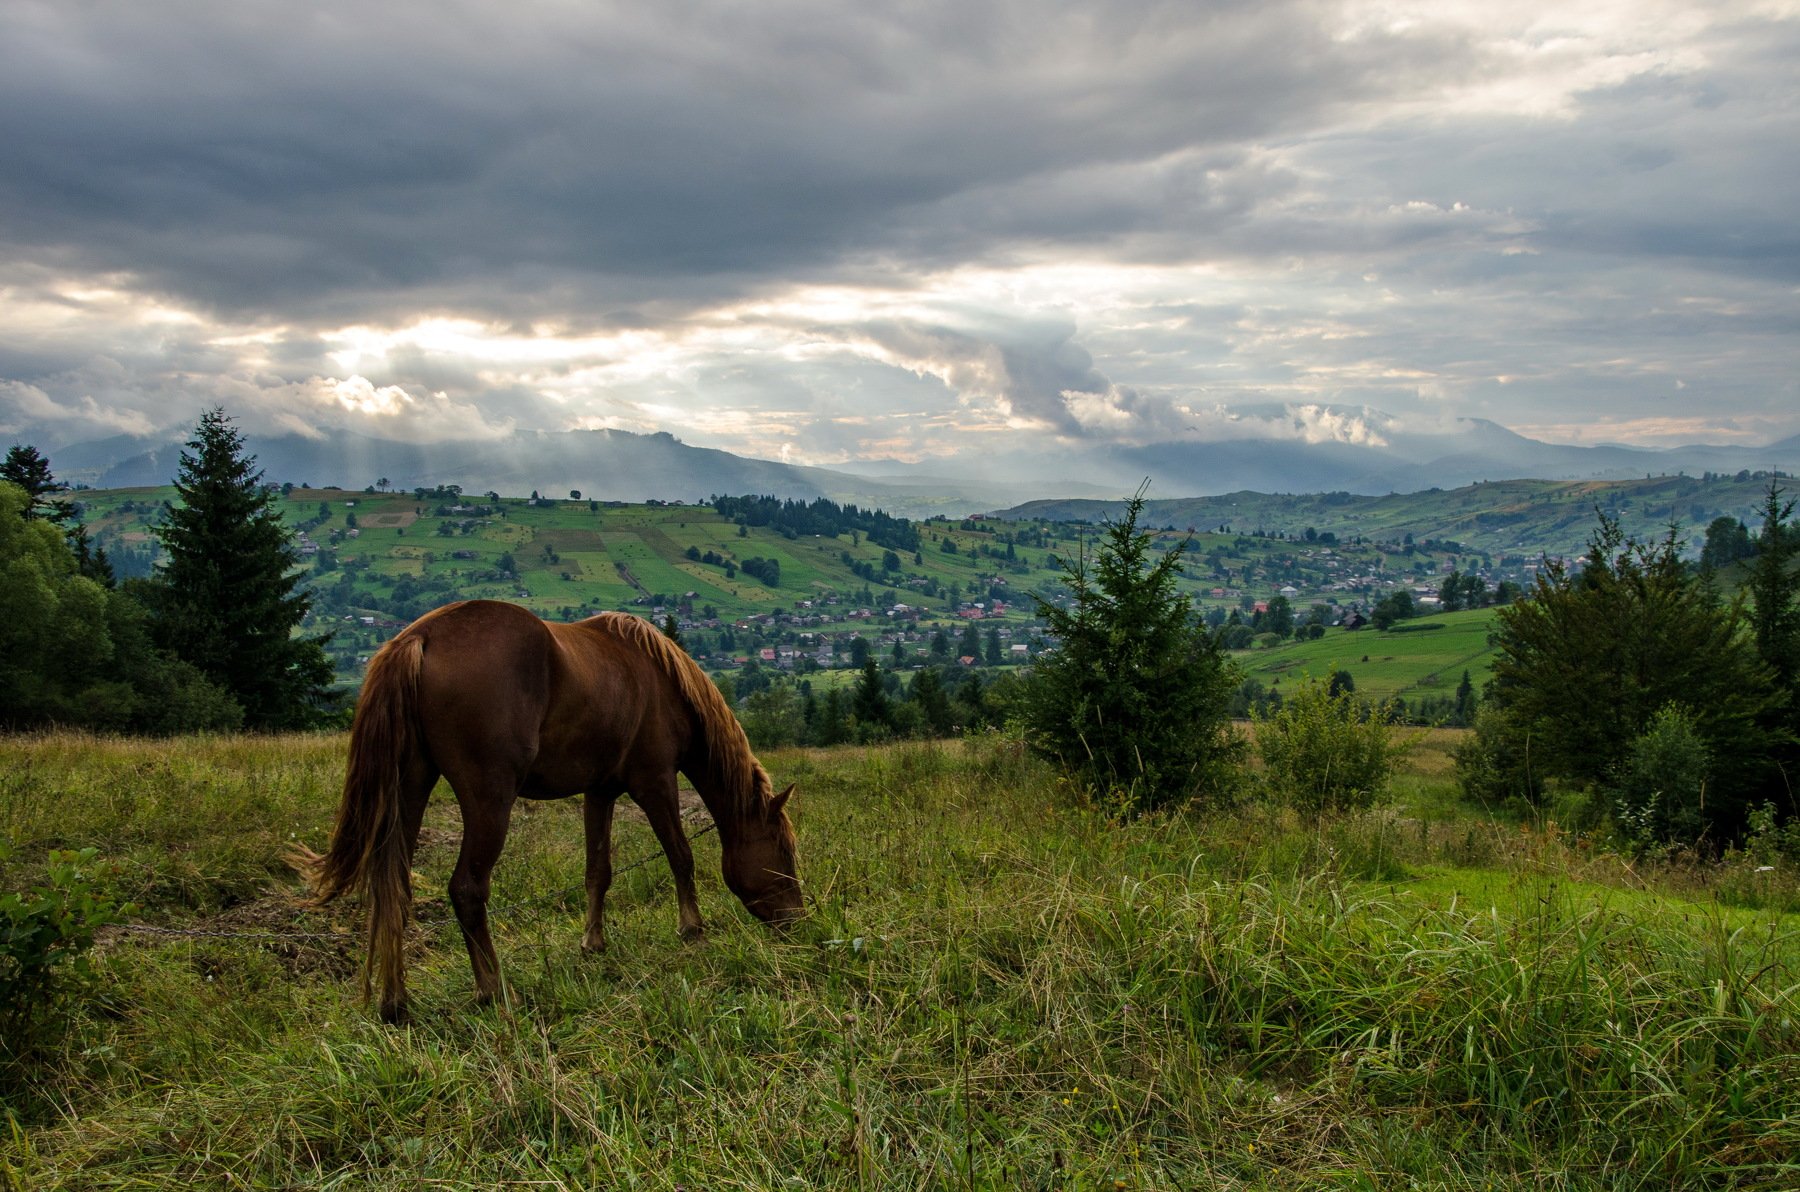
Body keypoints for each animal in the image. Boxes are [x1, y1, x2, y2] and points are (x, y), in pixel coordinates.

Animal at [295, 601, 802, 1022]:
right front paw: (692, 929)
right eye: (783, 851)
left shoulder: (600, 792)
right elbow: (681, 855)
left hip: (410, 789)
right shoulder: (655, 783)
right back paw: (495, 992)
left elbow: (598, 871)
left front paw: (593, 943)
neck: (661, 681)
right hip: (488, 799)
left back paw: (396, 1004)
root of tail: (420, 639)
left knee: (393, 889)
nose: (796, 921)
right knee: (466, 889)